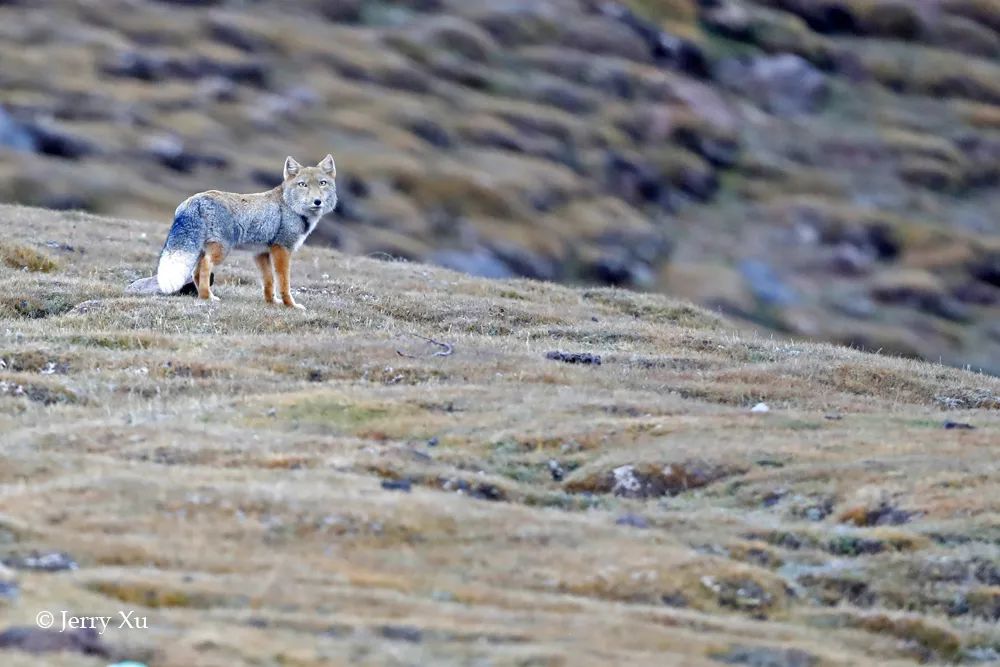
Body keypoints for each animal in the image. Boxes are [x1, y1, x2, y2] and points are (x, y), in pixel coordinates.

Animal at [154, 155, 338, 310]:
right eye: (303, 185)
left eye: (322, 183)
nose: (317, 201)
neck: (289, 206)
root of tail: (194, 200)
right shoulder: (282, 249)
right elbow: (283, 282)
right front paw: (290, 305)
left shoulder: (261, 253)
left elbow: (269, 281)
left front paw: (272, 302)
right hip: (221, 250)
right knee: (205, 266)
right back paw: (207, 297)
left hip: (202, 250)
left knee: (195, 272)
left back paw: (204, 295)